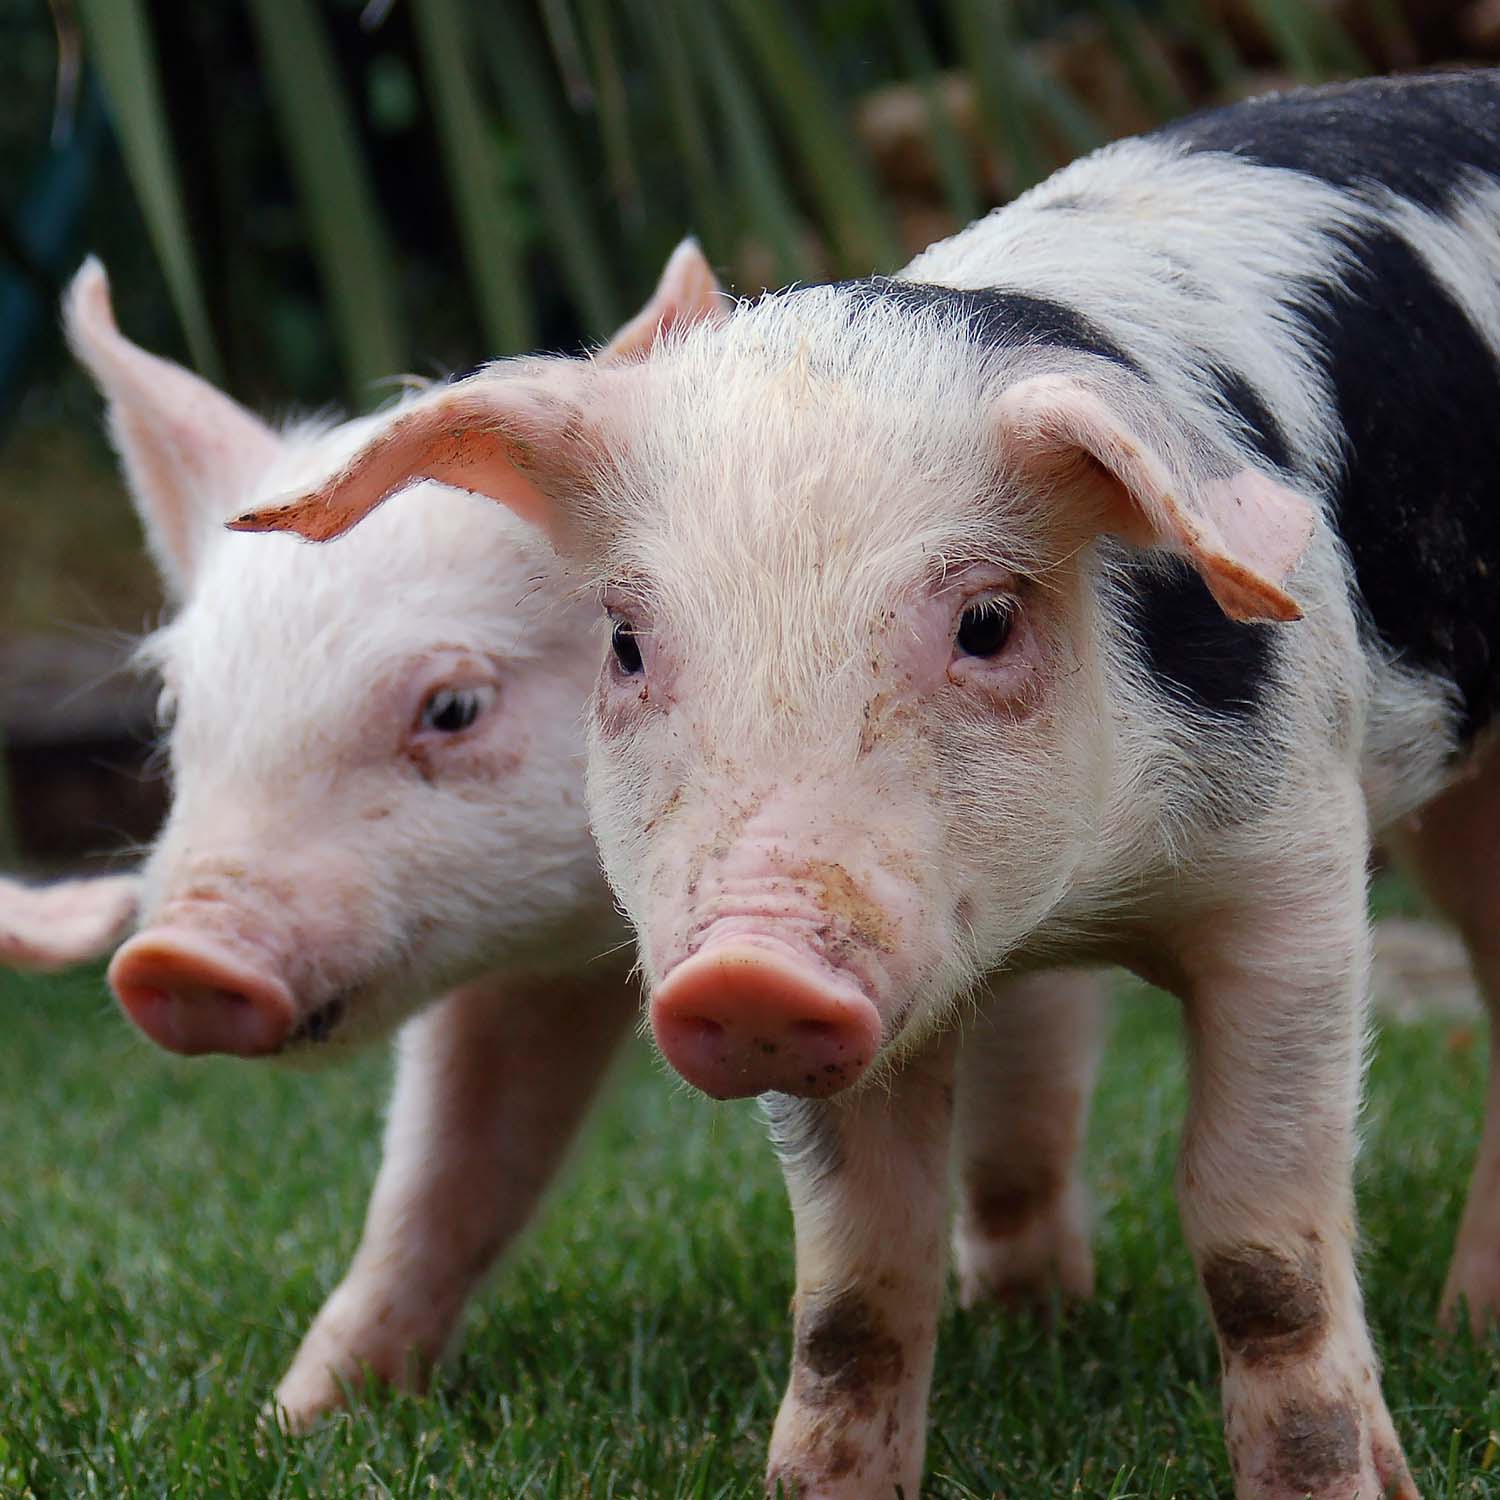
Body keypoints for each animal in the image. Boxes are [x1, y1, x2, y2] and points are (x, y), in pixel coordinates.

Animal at [6, 247, 724, 1431]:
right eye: (173, 706)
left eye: (454, 707)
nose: (180, 959)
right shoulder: (530, 975)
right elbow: (450, 1162)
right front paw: (295, 1420)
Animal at [242, 71, 1500, 1498]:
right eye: (623, 642)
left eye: (988, 624)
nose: (752, 967)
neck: (1077, 902)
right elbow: (856, 1289)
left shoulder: (1295, 870)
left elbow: (1260, 1246)